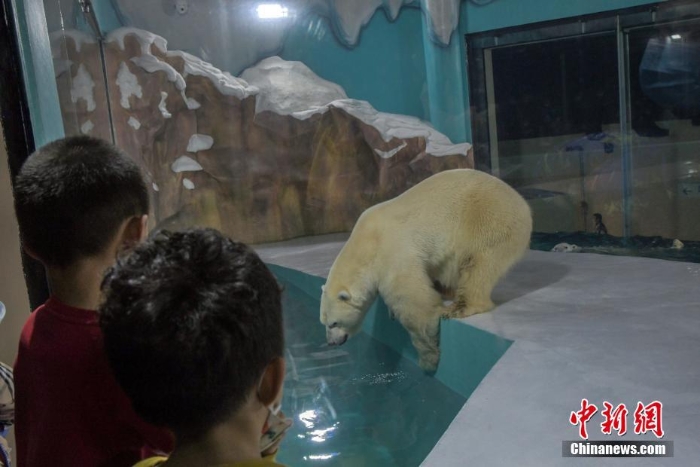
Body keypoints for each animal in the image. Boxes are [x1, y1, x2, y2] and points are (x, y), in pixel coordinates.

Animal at [320, 169, 532, 371]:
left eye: (334, 323)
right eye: (324, 322)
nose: (331, 343)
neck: (365, 243)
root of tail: (522, 202)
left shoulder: (392, 252)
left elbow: (414, 302)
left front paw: (428, 358)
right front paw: (392, 312)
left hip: (487, 218)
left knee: (479, 263)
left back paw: (459, 307)